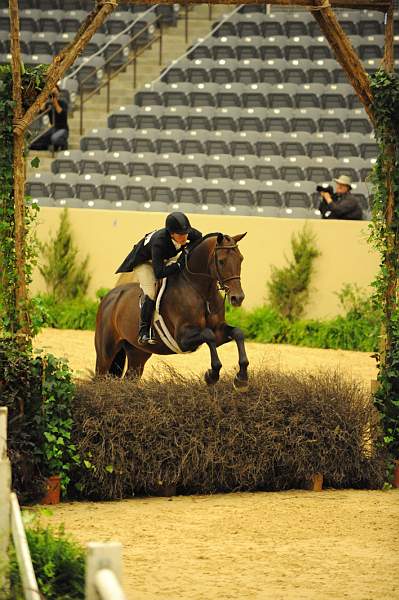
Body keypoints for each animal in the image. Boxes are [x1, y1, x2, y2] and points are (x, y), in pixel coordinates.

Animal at [94, 232, 250, 392]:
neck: (201, 291)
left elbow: (237, 333)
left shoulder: (218, 332)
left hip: (138, 353)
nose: (237, 298)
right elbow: (208, 334)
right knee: (99, 376)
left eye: (241, 259)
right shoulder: (183, 339)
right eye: (221, 261)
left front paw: (241, 379)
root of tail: (108, 297)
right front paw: (211, 375)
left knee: (129, 378)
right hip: (106, 353)